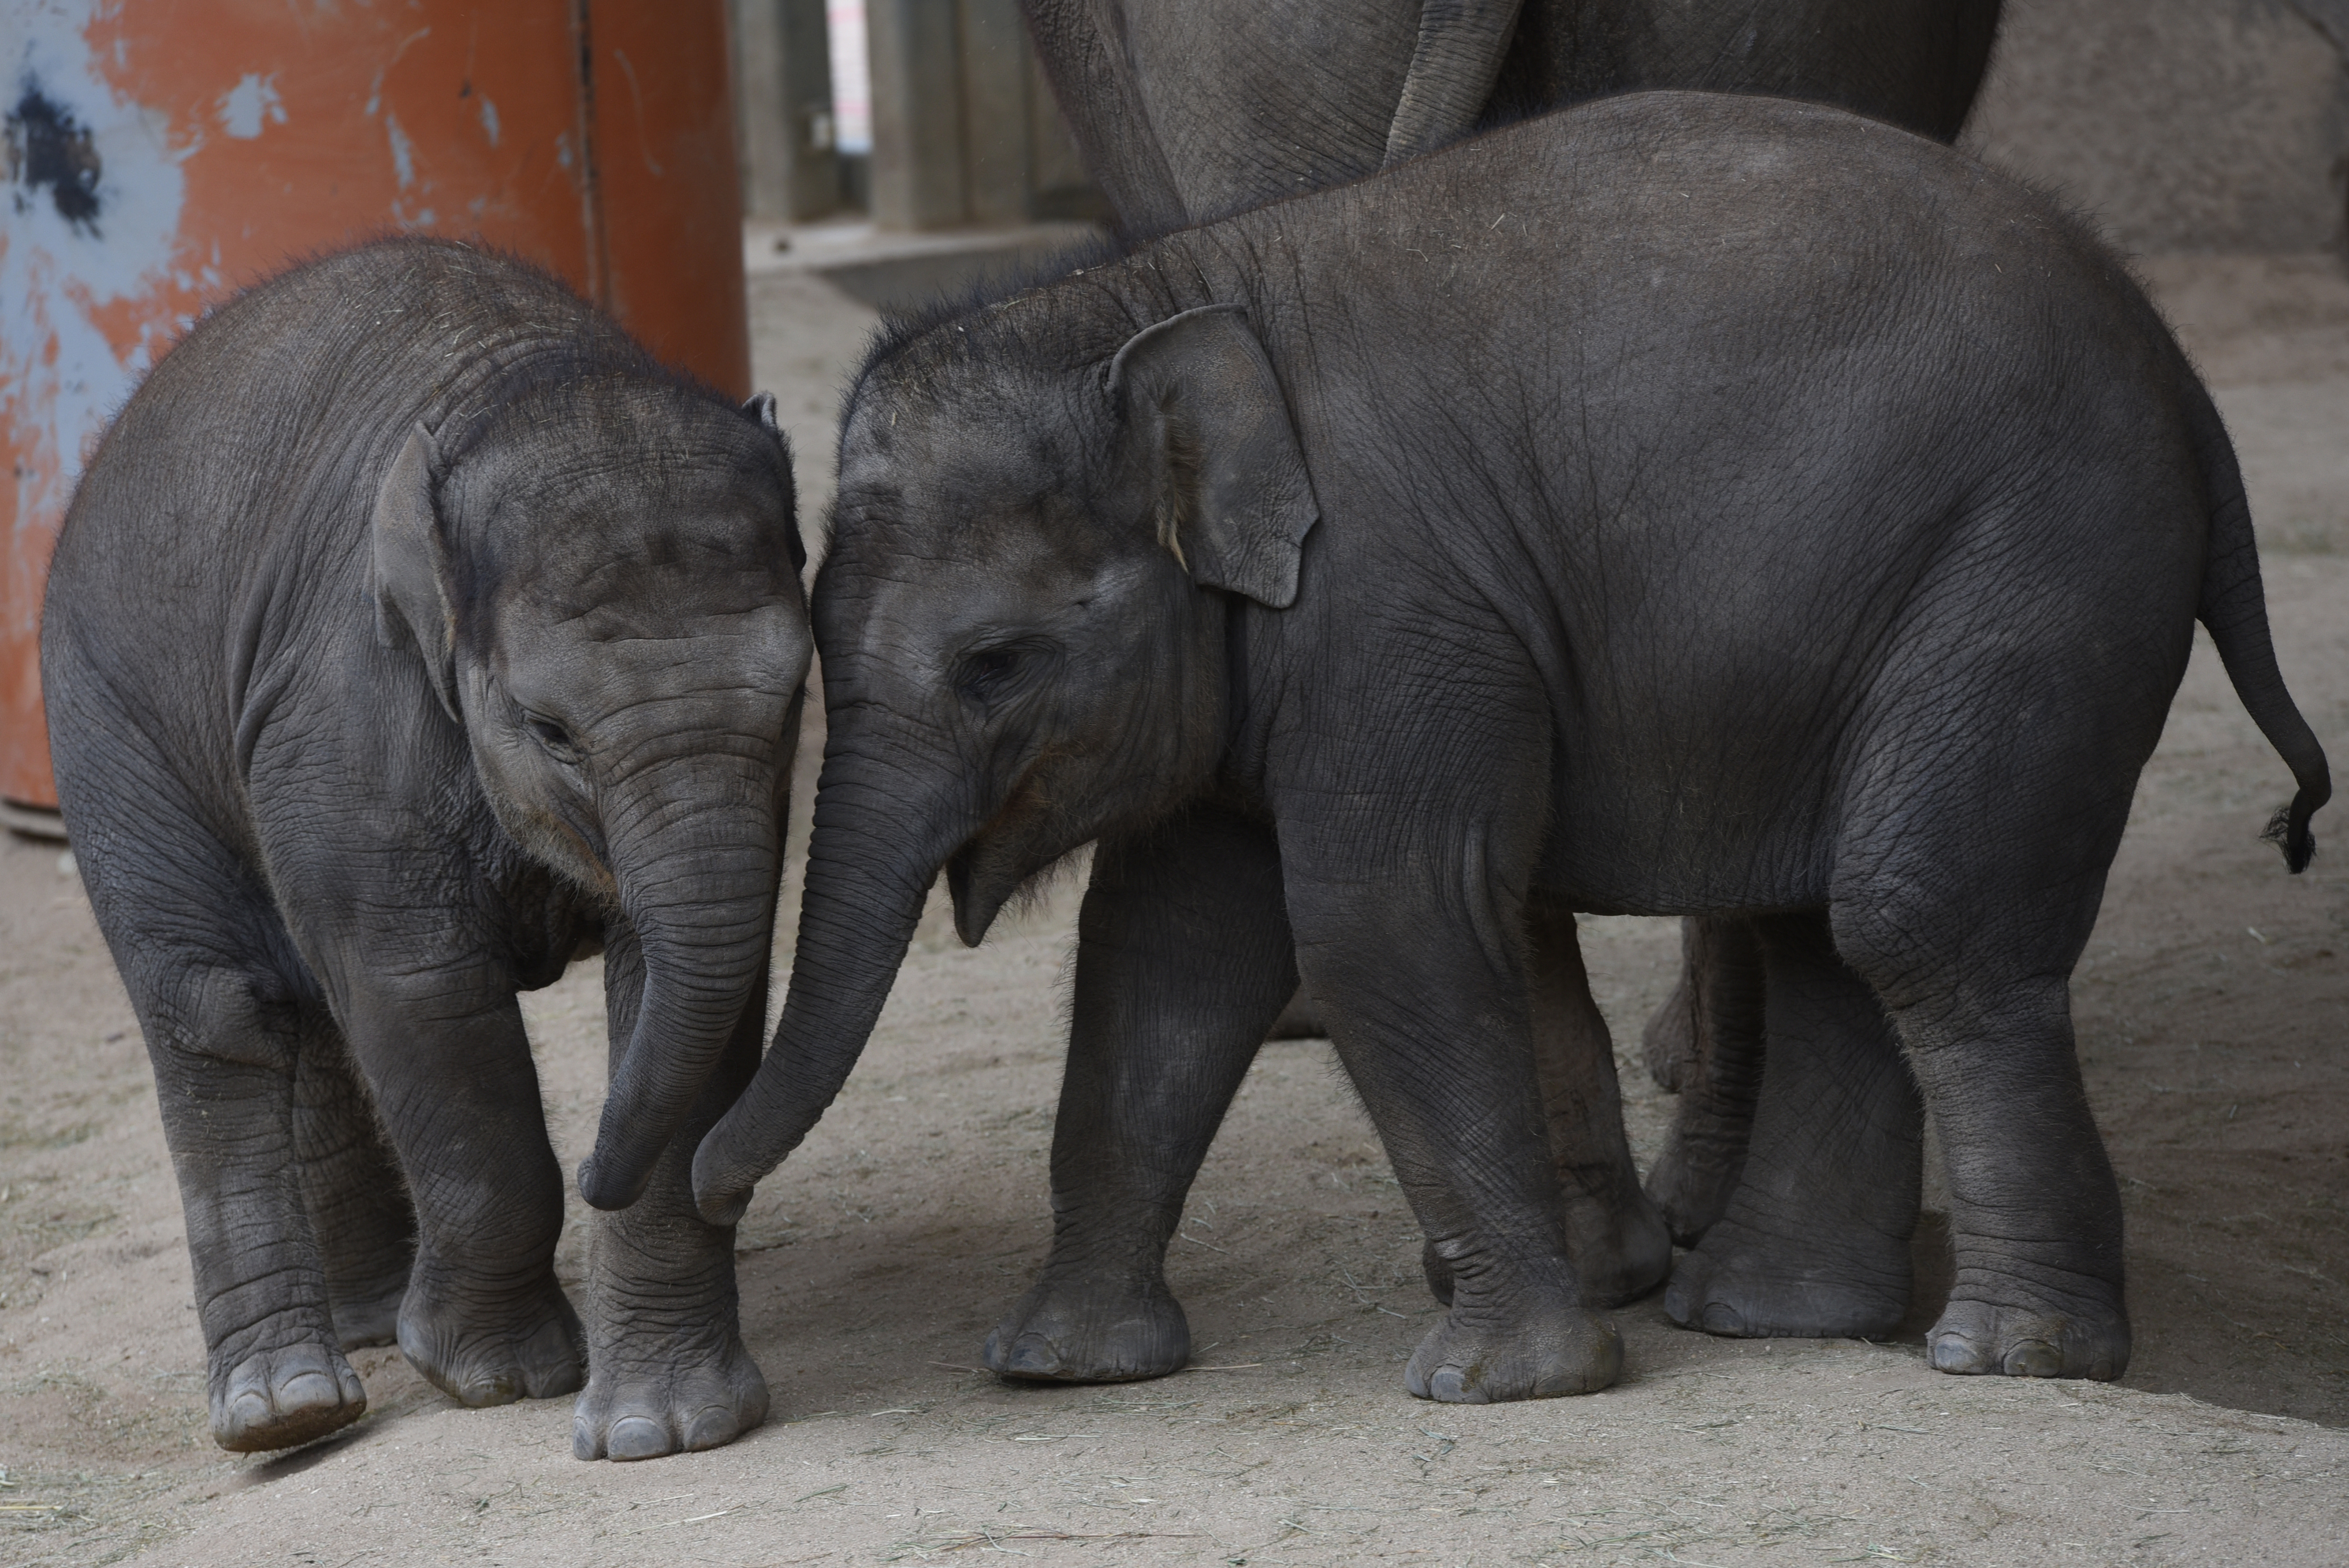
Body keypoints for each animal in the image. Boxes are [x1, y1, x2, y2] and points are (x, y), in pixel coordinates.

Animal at [40, 238, 811, 1459]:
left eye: (790, 700)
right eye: (551, 729)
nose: (599, 1169)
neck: (526, 383)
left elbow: (683, 986)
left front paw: (662, 1429)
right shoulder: (346, 726)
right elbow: (421, 993)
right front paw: (493, 1373)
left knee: (300, 1009)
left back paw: (363, 1323)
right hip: (107, 723)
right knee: (223, 1008)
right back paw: (286, 1408)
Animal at [690, 92, 2329, 1402]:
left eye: (994, 664)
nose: (702, 1186)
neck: (1149, 298)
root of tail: (2175, 365)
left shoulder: (1395, 611)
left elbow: (1377, 925)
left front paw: (1502, 1384)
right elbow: (1166, 952)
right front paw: (1060, 1366)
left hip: (2034, 576)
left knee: (1912, 919)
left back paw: (2004, 1354)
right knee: (1830, 929)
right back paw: (1773, 1316)